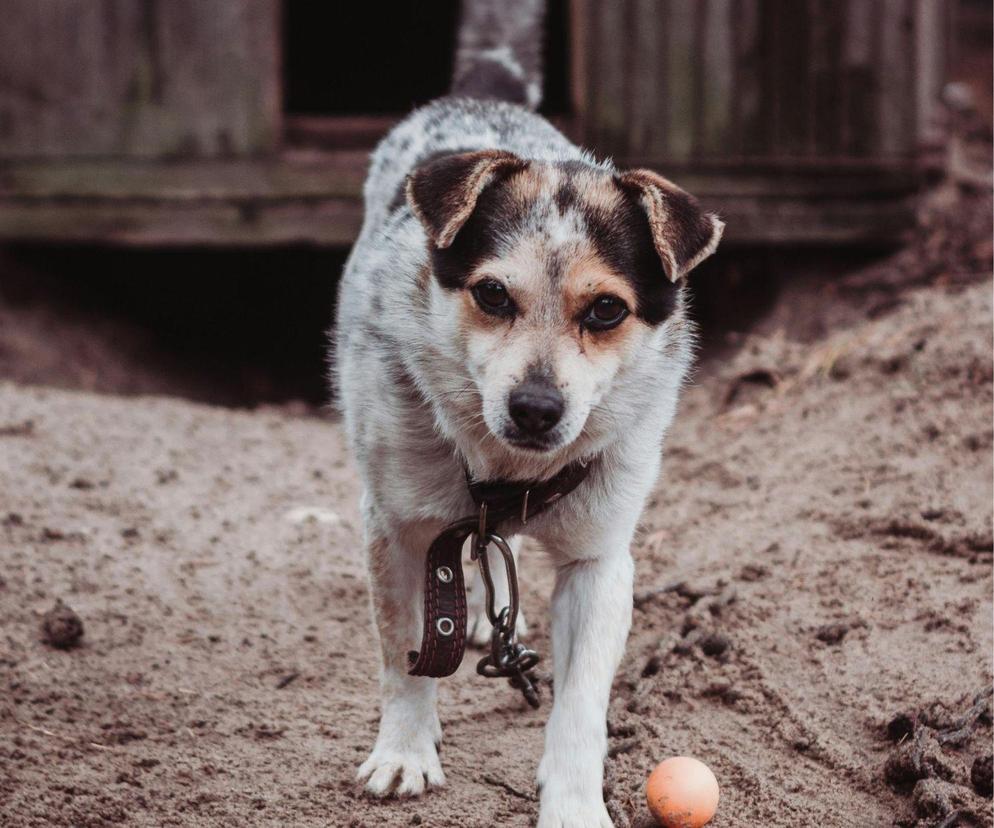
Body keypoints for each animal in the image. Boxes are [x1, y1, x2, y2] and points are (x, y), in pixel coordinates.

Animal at [334, 3, 720, 824]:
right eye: (491, 294)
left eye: (607, 310)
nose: (537, 408)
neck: (509, 469)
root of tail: (483, 97)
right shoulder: (393, 525)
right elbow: (405, 652)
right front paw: (405, 750)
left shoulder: (598, 562)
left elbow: (580, 704)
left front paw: (573, 803)